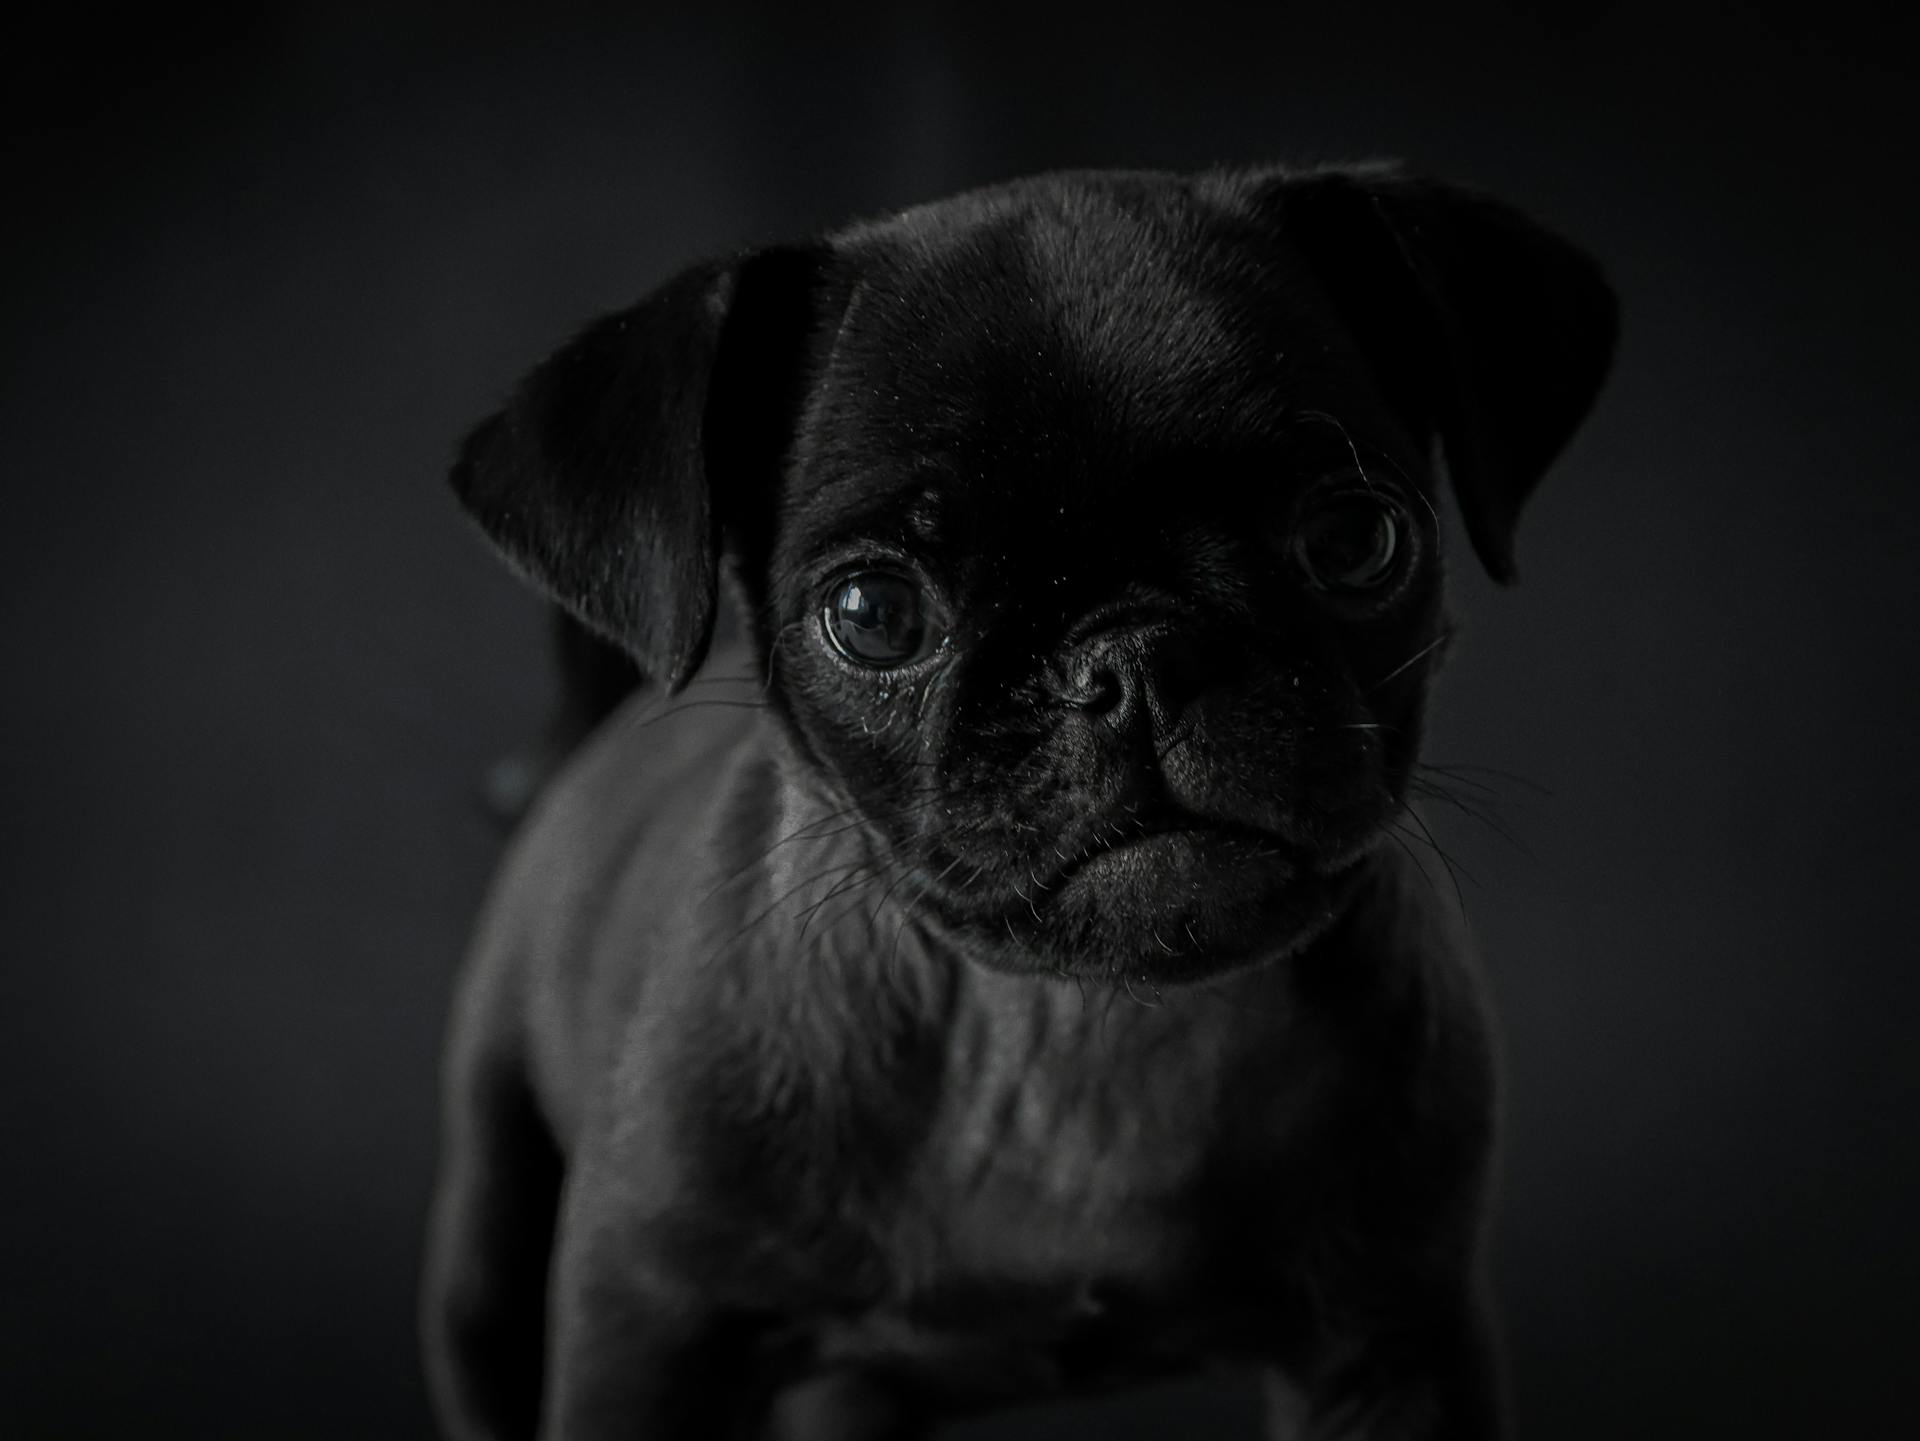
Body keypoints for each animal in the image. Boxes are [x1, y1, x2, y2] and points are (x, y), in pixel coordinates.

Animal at [428, 163, 1612, 1435]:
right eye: (874, 615)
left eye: (1355, 540)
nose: (1138, 658)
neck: (1075, 1028)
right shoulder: (646, 1330)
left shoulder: (1391, 1350)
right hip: (489, 1258)